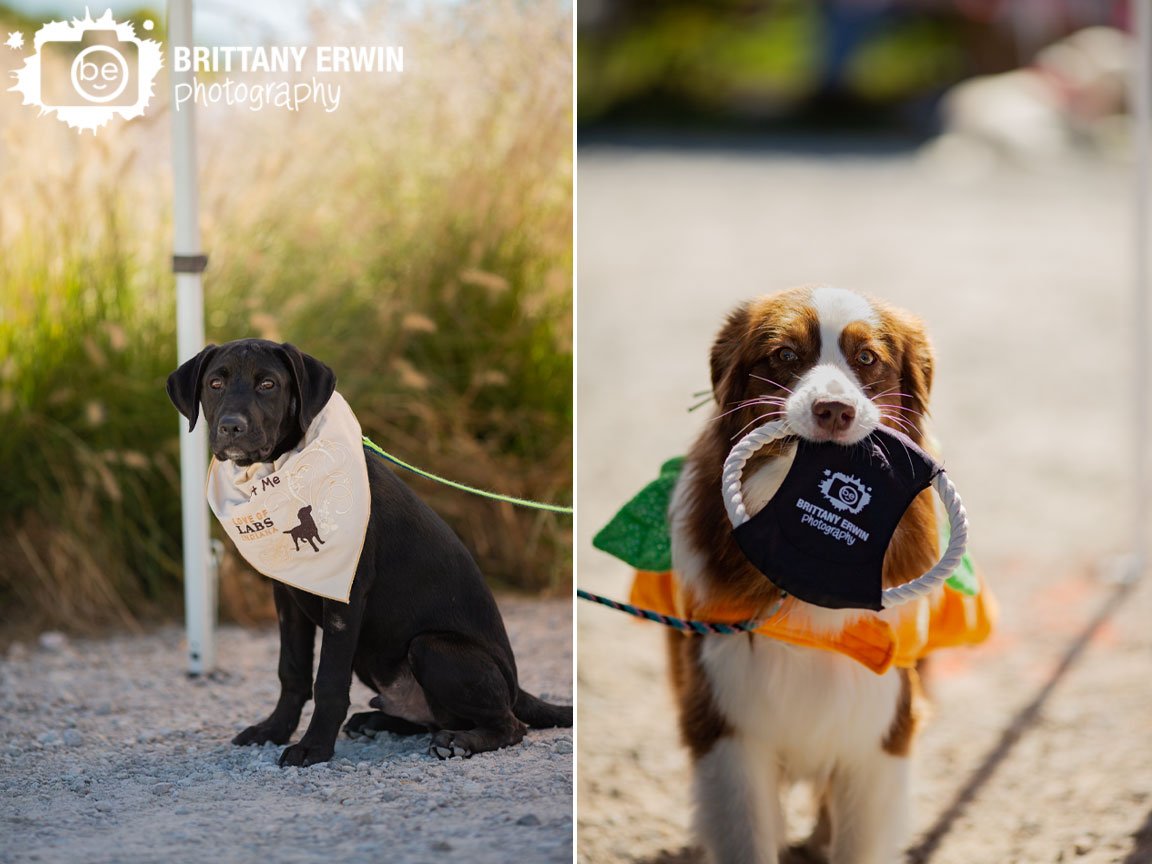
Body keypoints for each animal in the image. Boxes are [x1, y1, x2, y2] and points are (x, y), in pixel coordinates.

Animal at [167, 340, 571, 769]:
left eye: (268, 384)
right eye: (214, 383)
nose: (232, 426)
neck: (280, 471)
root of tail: (517, 687)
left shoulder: (346, 598)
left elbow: (327, 680)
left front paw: (314, 747)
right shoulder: (286, 596)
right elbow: (291, 671)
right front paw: (273, 731)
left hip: (431, 648)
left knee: (510, 725)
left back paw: (458, 741)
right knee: (432, 717)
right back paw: (377, 722)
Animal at [672, 289, 940, 864]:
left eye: (867, 358)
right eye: (785, 355)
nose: (834, 410)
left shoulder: (881, 728)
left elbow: (859, 841)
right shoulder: (724, 721)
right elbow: (747, 835)